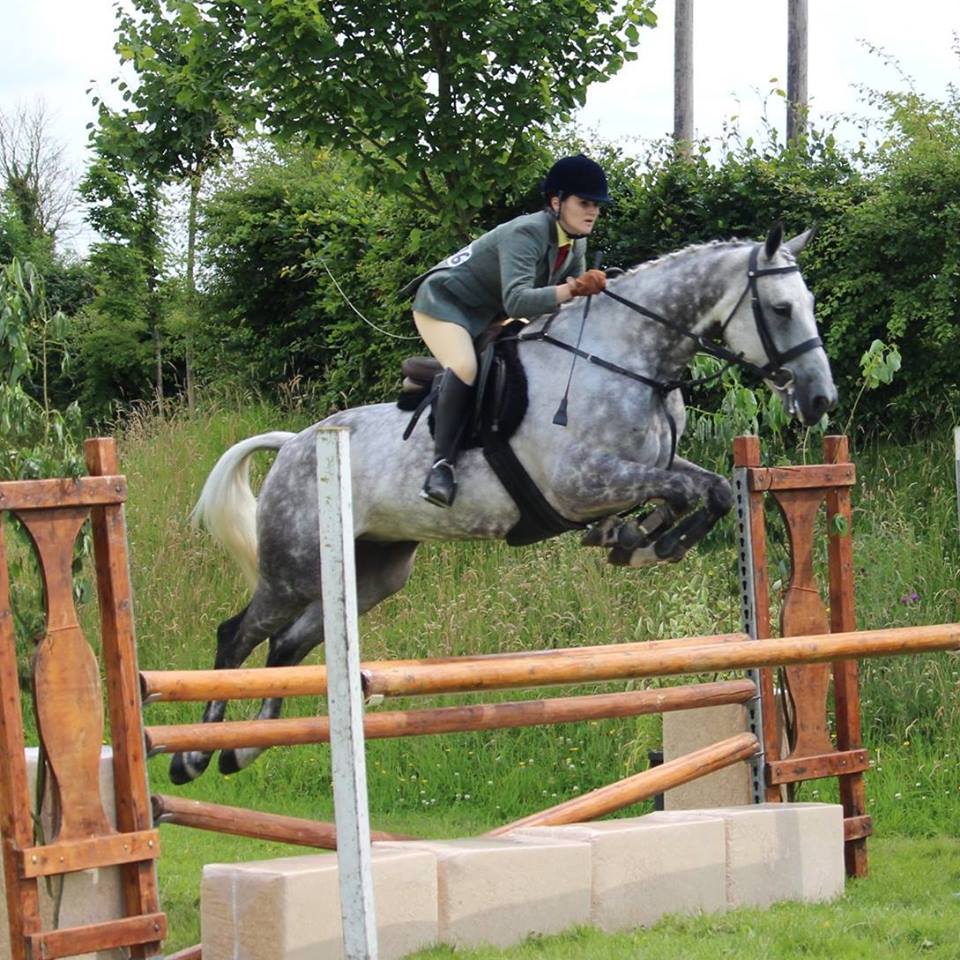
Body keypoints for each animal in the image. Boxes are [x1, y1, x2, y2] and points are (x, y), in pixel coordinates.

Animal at [172, 224, 836, 783]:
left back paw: (243, 750)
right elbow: (680, 492)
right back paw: (192, 756)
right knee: (238, 635)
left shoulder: (651, 466)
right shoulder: (579, 483)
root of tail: (293, 445)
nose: (820, 399)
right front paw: (640, 540)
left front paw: (638, 540)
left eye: (807, 304)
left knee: (289, 645)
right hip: (293, 568)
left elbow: (713, 489)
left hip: (373, 573)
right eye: (781, 309)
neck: (628, 361)